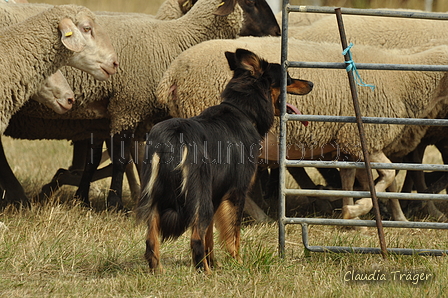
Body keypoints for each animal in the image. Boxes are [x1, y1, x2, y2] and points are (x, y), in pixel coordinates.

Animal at [136, 47, 312, 274]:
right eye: (287, 78)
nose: (311, 84)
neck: (243, 111)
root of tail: (174, 135)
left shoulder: (216, 194)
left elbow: (210, 236)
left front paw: (215, 262)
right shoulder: (236, 193)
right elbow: (233, 234)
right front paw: (238, 263)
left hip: (156, 197)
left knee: (151, 238)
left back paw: (159, 271)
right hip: (198, 195)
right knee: (195, 237)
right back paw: (205, 273)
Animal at [156, 36, 448, 221]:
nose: (311, 84)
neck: (406, 80)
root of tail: (170, 76)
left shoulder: (350, 142)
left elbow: (363, 181)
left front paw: (363, 215)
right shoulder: (362, 138)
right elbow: (387, 176)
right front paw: (361, 211)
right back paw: (262, 218)